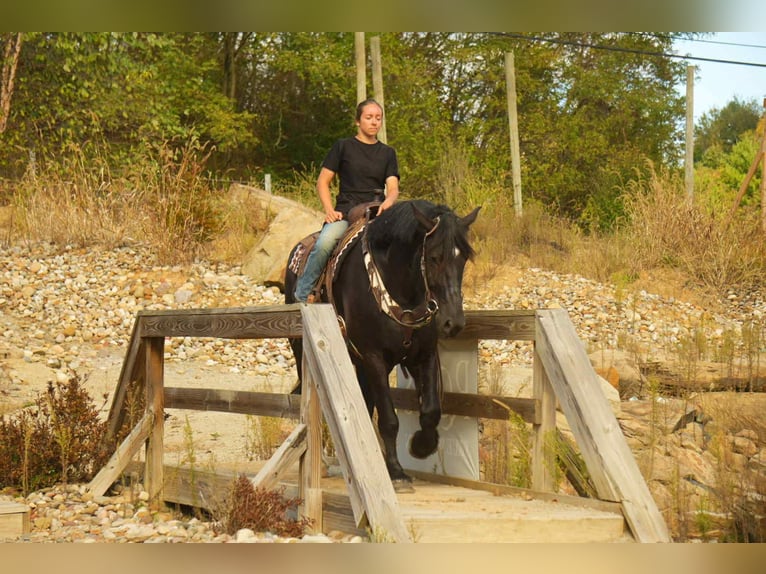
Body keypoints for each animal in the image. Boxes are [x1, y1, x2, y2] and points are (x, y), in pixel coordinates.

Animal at [284, 199, 480, 488]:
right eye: (434, 257)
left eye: (463, 258)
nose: (452, 323)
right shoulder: (374, 357)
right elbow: (389, 419)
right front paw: (396, 471)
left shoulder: (425, 355)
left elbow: (431, 410)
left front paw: (422, 445)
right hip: (304, 351)